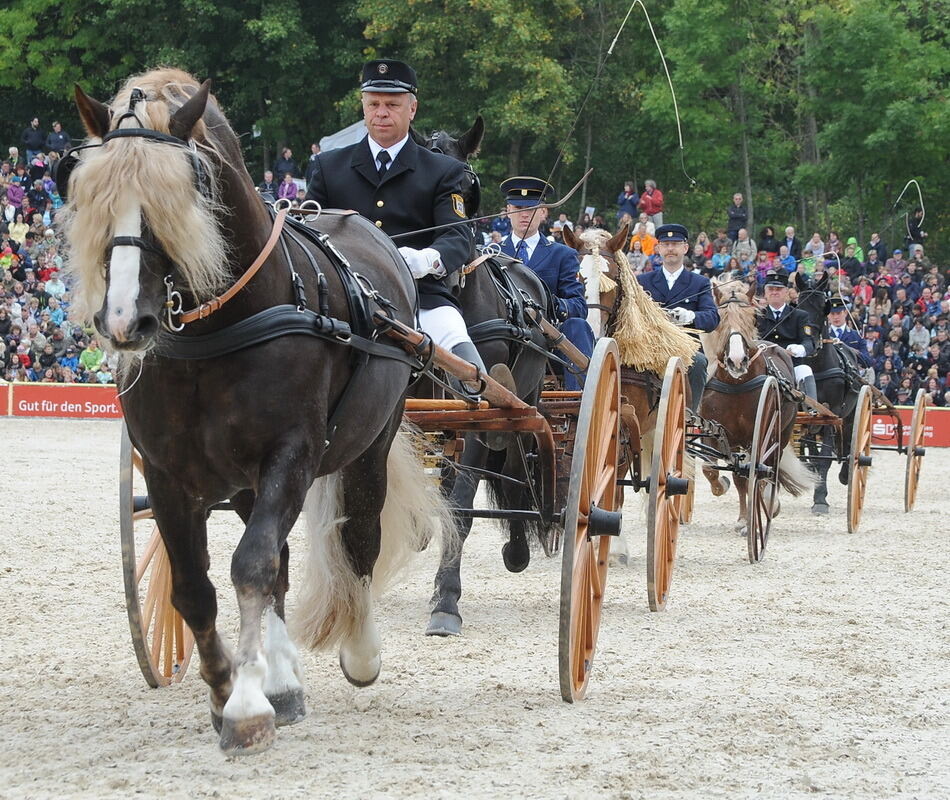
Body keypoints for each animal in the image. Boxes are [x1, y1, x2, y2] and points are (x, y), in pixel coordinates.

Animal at [63, 70, 450, 756]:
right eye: (92, 189)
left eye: (190, 185)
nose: (123, 322)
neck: (217, 331)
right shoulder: (166, 473)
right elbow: (195, 587)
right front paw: (227, 689)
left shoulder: (291, 454)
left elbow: (252, 564)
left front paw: (245, 705)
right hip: (246, 481)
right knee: (281, 563)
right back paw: (284, 681)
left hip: (366, 447)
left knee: (358, 535)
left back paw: (358, 652)